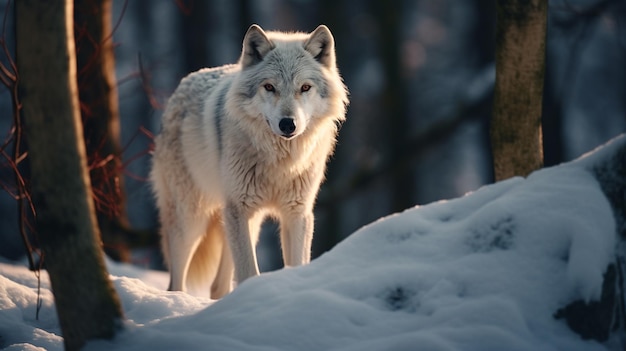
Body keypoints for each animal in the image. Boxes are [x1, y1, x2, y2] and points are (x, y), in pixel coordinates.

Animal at [149, 24, 348, 300]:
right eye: (269, 87)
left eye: (305, 88)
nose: (288, 124)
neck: (280, 162)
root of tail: (180, 89)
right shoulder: (240, 209)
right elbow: (248, 273)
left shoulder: (297, 213)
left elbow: (296, 265)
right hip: (192, 220)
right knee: (175, 282)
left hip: (244, 222)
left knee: (218, 286)